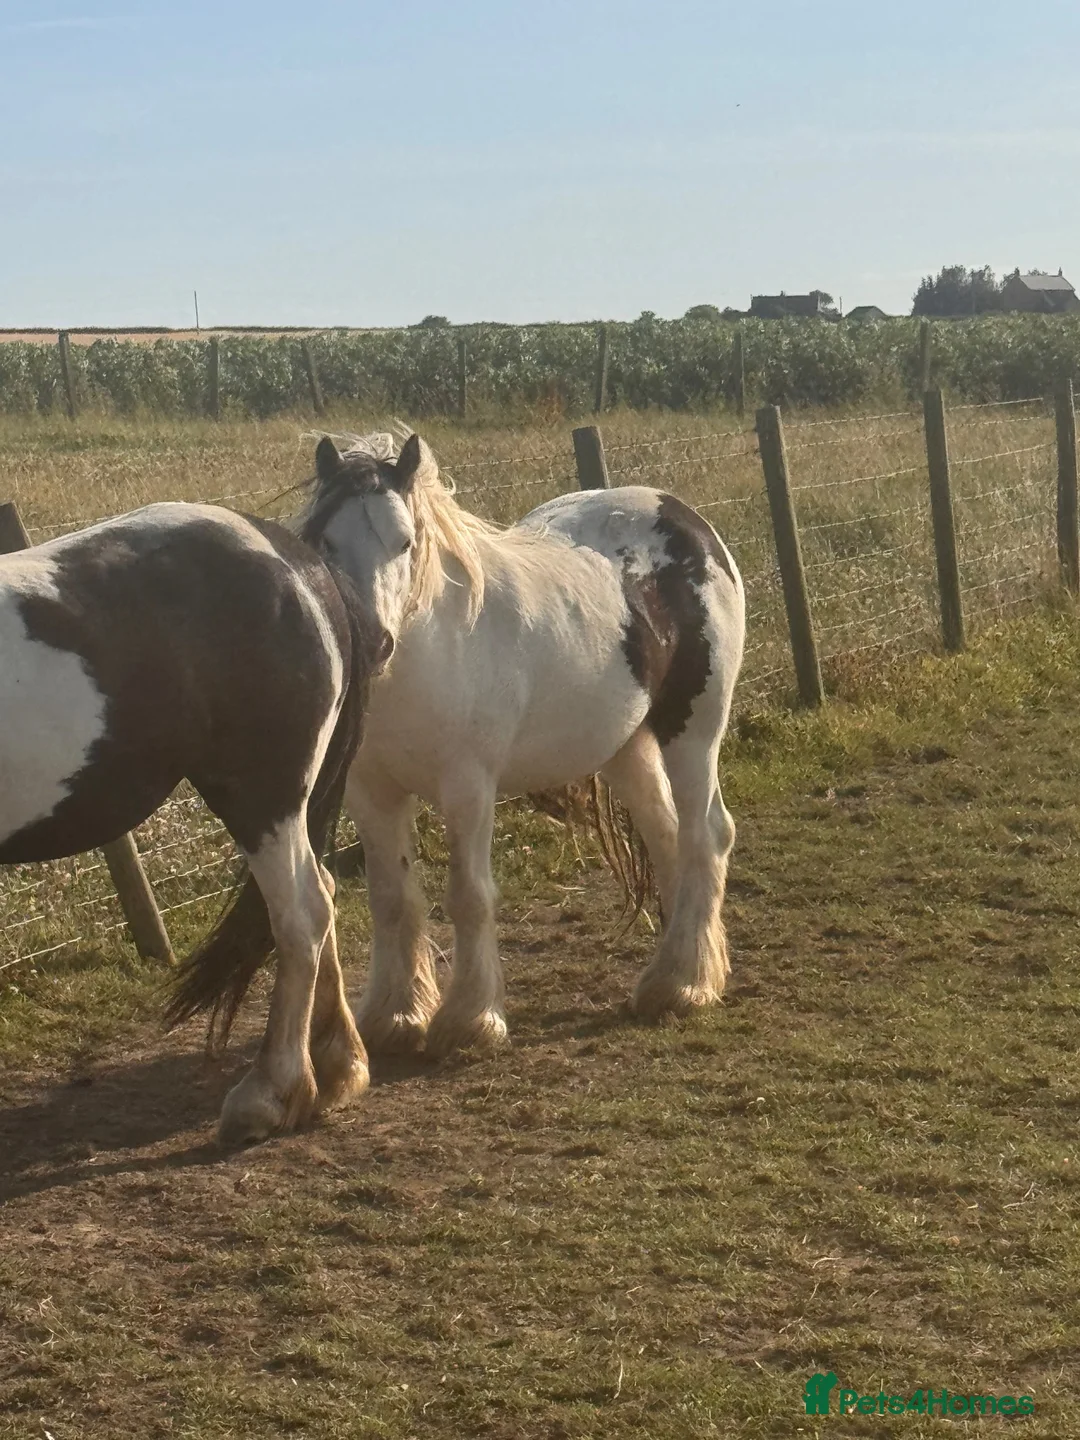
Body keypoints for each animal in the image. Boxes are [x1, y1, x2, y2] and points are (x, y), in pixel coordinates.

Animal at [1, 502, 385, 1144]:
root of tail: (295, 559)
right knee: (324, 894)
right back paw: (336, 1069)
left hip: (262, 798)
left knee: (301, 915)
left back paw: (270, 1094)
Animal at [299, 432, 745, 1058]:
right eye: (326, 542)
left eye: (404, 541)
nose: (372, 641)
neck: (433, 648)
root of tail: (687, 519)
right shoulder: (373, 793)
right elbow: (392, 898)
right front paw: (396, 1015)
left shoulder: (468, 786)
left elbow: (469, 895)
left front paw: (470, 1019)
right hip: (625, 746)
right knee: (668, 836)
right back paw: (675, 973)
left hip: (694, 730)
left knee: (706, 834)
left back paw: (684, 985)